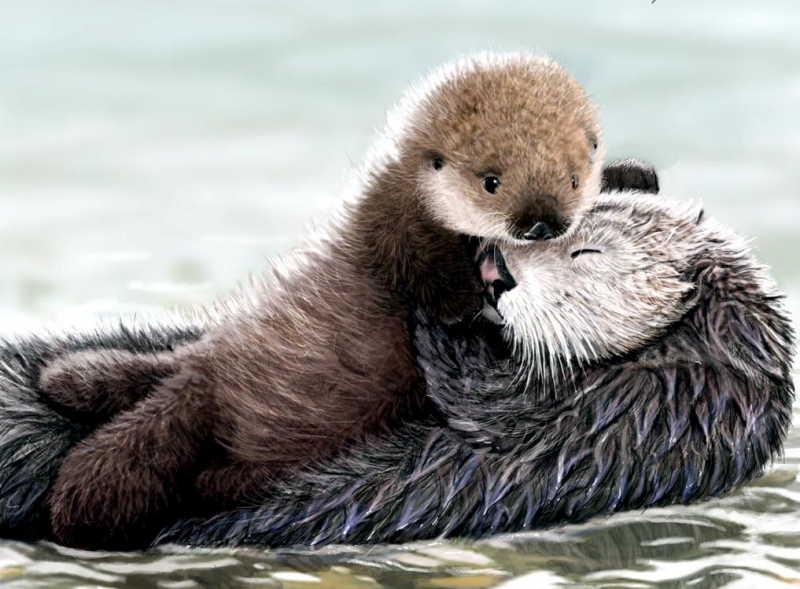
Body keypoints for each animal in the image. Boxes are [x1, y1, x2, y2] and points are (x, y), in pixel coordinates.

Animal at [27, 53, 614, 549]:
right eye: (491, 181)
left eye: (573, 177)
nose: (542, 222)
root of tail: (200, 378)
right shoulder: (397, 225)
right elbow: (427, 274)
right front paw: (465, 302)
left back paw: (74, 382)